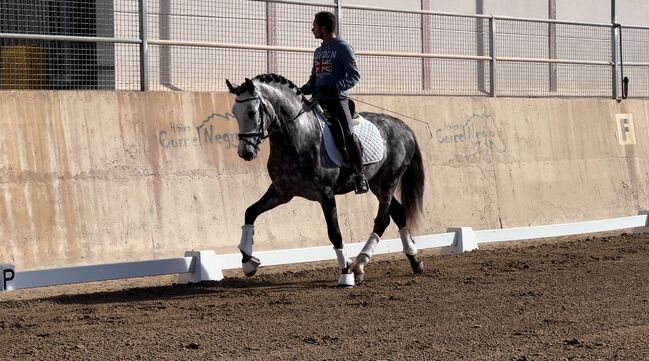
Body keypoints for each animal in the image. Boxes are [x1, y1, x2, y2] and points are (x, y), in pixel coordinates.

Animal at [227, 74, 426, 286]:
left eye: (251, 112)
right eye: (235, 112)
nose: (245, 153)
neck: (299, 135)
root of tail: (403, 127)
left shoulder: (326, 195)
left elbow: (335, 233)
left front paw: (345, 272)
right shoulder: (281, 192)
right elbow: (250, 212)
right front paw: (248, 261)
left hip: (389, 181)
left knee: (382, 220)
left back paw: (360, 265)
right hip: (376, 184)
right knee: (399, 214)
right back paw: (414, 260)